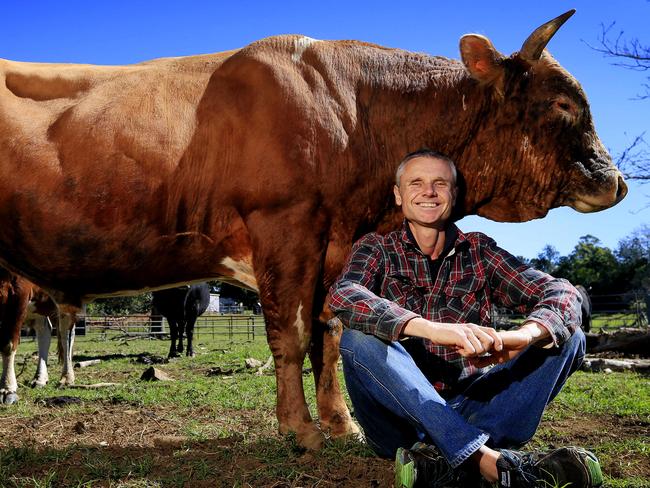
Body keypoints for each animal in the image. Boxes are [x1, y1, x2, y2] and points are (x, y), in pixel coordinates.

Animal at [0, 10, 624, 446]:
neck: (352, 112)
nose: (616, 181)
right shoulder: (285, 227)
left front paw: (341, 424)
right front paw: (299, 430)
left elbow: (330, 335)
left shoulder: (337, 243)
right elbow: (292, 335)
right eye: (564, 104)